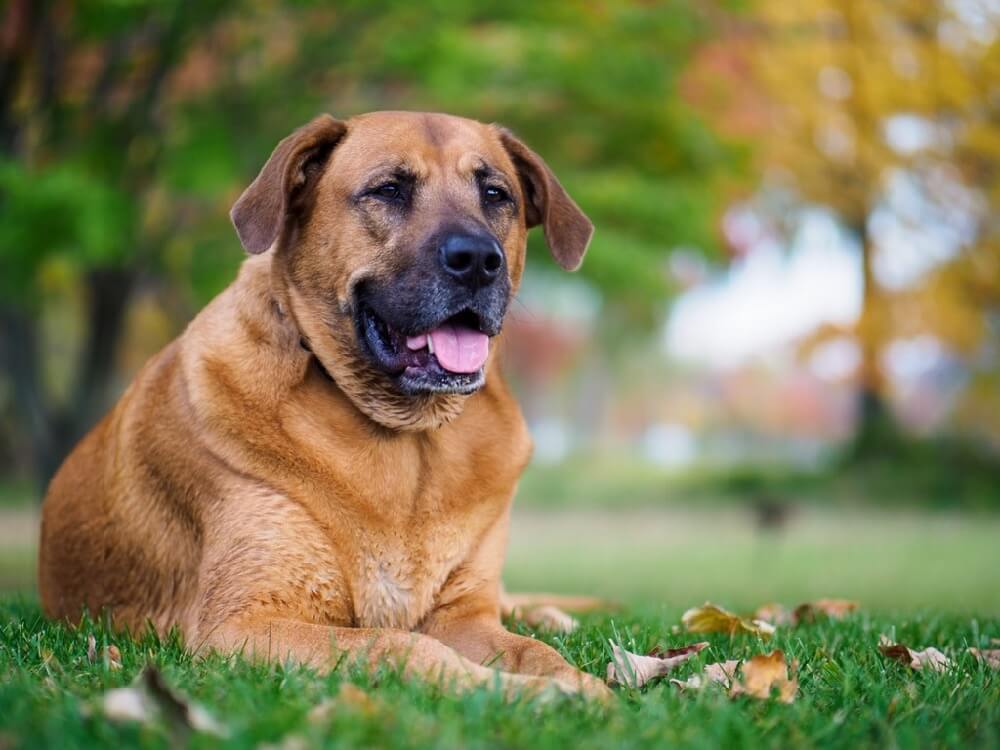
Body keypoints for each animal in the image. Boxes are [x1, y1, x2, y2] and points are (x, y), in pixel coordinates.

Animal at [39, 110, 608, 700]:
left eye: (496, 194)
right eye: (389, 189)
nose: (478, 260)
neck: (407, 438)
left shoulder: (463, 615)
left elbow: (530, 651)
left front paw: (573, 681)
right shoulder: (243, 622)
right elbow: (400, 646)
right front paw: (525, 692)